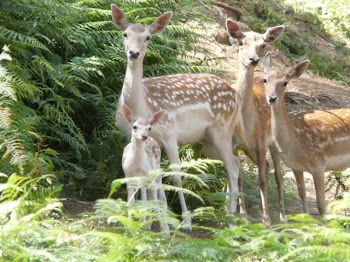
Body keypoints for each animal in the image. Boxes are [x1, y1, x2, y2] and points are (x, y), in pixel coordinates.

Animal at [121, 103, 169, 232]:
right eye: (134, 126)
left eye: (149, 128)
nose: (144, 136)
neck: (136, 164)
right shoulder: (128, 176)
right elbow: (131, 201)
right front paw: (129, 227)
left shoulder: (145, 176)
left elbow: (147, 202)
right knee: (150, 198)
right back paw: (147, 226)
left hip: (156, 173)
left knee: (160, 197)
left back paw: (165, 230)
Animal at [227, 18, 288, 225]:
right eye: (240, 43)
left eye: (262, 45)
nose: (253, 60)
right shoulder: (234, 143)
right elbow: (239, 177)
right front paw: (242, 216)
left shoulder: (261, 141)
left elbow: (261, 179)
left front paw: (266, 220)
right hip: (249, 148)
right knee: (268, 167)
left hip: (274, 141)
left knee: (277, 174)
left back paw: (282, 217)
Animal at [262, 52, 350, 215]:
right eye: (265, 80)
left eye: (285, 83)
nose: (272, 98)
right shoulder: (295, 166)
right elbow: (301, 193)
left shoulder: (318, 164)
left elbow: (321, 205)